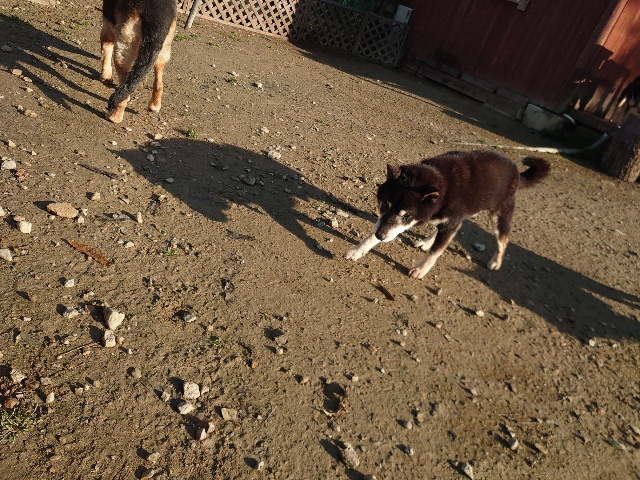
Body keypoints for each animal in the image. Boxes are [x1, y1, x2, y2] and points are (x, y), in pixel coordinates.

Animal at [344, 150, 550, 279]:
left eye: (407, 215)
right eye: (384, 204)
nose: (381, 235)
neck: (442, 184)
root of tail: (516, 171)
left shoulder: (449, 222)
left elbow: (436, 252)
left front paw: (420, 269)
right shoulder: (389, 223)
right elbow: (376, 233)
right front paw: (359, 249)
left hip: (500, 215)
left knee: (503, 240)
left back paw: (495, 262)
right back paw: (427, 241)